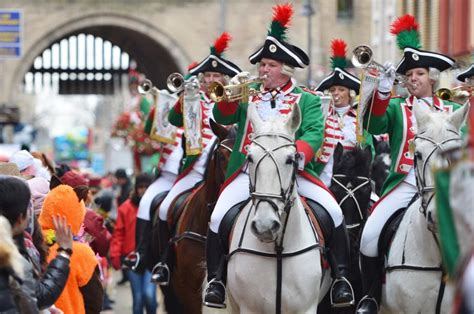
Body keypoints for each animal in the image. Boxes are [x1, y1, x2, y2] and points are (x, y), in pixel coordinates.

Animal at [226, 105, 330, 314]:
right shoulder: (249, 308)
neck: (278, 249)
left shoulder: (306, 308)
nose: (265, 226)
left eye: (290, 160)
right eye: (250, 157)